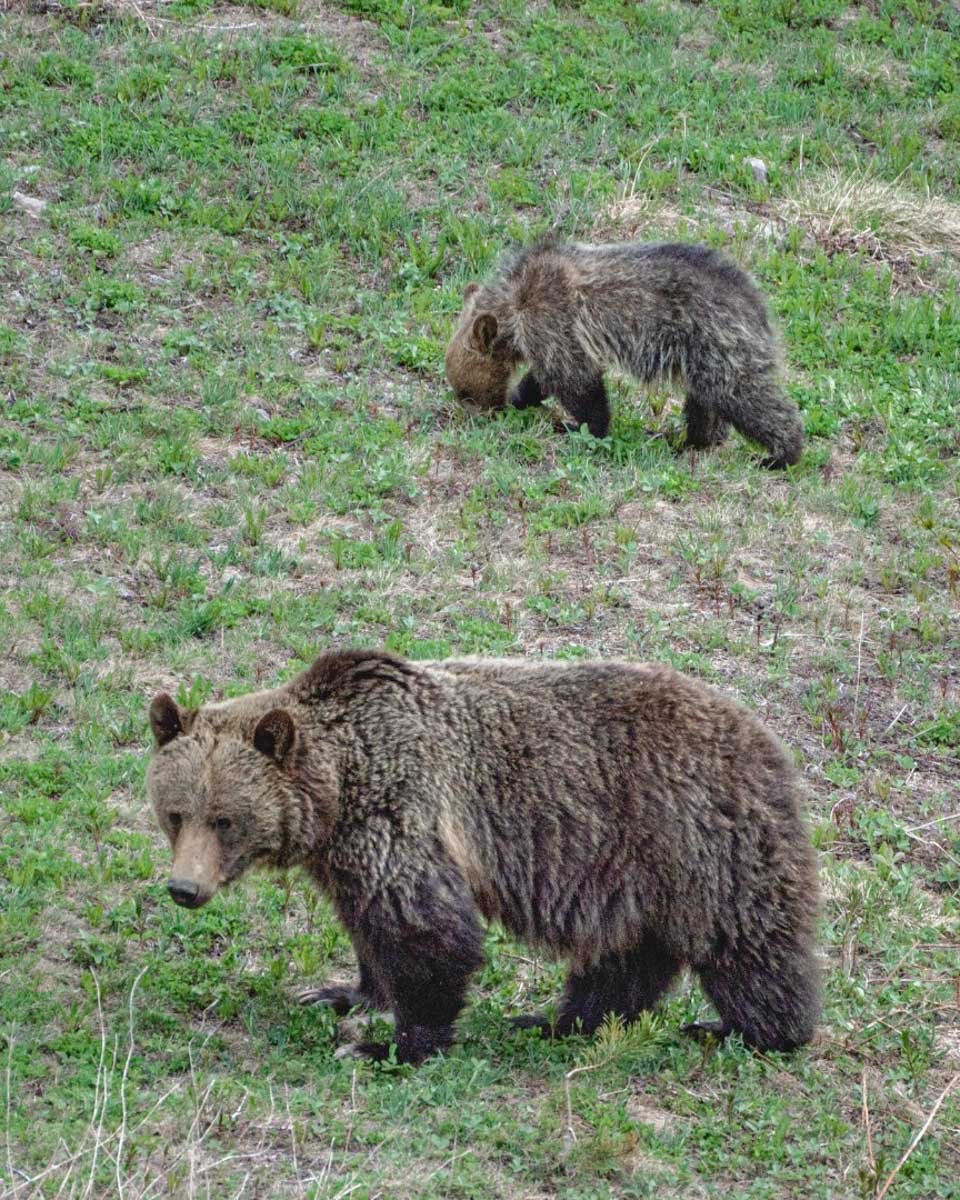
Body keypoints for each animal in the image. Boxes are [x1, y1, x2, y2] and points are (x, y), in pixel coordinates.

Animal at [147, 649, 821, 1066]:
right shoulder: (345, 854)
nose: (185, 888)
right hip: (631, 873)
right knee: (624, 957)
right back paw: (557, 1021)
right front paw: (344, 994)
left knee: (747, 942)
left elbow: (427, 931)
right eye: (176, 813)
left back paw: (746, 1030)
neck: (338, 787)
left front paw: (389, 1046)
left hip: (694, 836)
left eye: (224, 819)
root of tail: (767, 737)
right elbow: (369, 927)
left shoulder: (400, 811)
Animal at [444, 238, 805, 468]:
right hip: (701, 358)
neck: (513, 308)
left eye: (465, 390)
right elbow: (545, 378)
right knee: (705, 404)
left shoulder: (553, 322)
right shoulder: (552, 337)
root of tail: (758, 305)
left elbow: (578, 383)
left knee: (747, 397)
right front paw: (522, 396)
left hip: (718, 345)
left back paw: (780, 454)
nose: (467, 412)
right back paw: (692, 440)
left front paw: (582, 428)